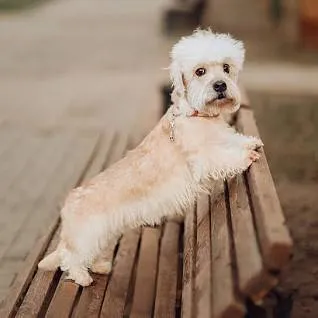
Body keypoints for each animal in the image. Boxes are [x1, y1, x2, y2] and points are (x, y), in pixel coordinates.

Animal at [38, 29, 262, 286]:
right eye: (200, 71)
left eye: (226, 67)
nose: (220, 85)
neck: (197, 115)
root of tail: (67, 206)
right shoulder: (204, 158)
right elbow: (224, 157)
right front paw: (245, 156)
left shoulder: (220, 137)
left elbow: (233, 140)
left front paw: (250, 142)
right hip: (87, 237)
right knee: (70, 257)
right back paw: (82, 277)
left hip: (105, 235)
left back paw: (100, 266)